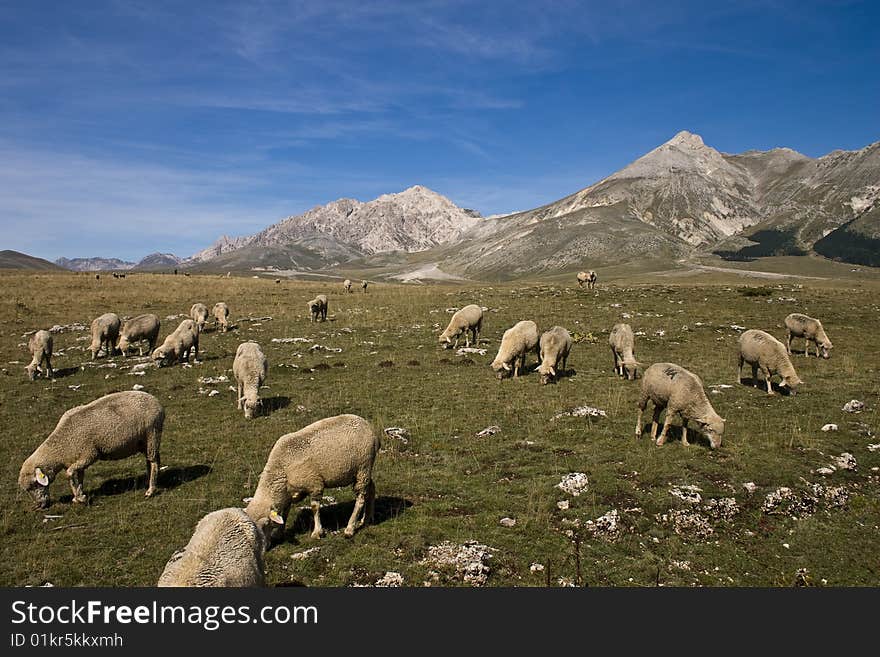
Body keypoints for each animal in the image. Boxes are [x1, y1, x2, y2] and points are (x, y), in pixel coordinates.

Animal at [18, 390, 164, 508]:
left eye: (34, 484)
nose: (40, 506)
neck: (61, 448)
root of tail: (156, 401)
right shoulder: (78, 457)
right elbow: (79, 476)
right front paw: (79, 495)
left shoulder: (89, 455)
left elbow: (69, 473)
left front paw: (80, 498)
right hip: (143, 441)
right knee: (151, 460)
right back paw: (149, 481)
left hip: (152, 433)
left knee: (154, 462)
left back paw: (151, 490)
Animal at [244, 416, 378, 544]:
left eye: (266, 523)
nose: (264, 547)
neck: (282, 468)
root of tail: (369, 427)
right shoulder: (288, 493)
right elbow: (284, 511)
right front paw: (279, 533)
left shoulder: (315, 484)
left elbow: (314, 507)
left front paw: (317, 532)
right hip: (363, 471)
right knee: (370, 489)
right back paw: (366, 519)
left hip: (363, 467)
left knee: (360, 498)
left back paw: (350, 528)